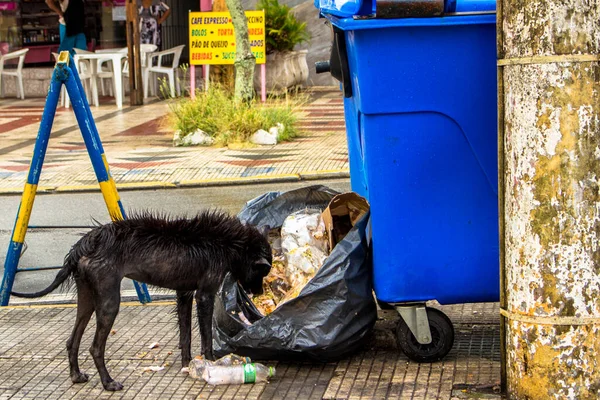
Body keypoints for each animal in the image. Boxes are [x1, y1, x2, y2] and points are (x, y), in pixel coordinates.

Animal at [11, 211, 272, 392]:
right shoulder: (204, 295)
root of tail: (86, 242)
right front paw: (210, 362)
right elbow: (206, 336)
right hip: (109, 301)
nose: (258, 293)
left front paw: (188, 364)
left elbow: (185, 335)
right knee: (95, 347)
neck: (227, 242)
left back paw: (76, 376)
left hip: (87, 298)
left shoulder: (184, 294)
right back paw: (108, 383)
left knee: (71, 340)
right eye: (261, 272)